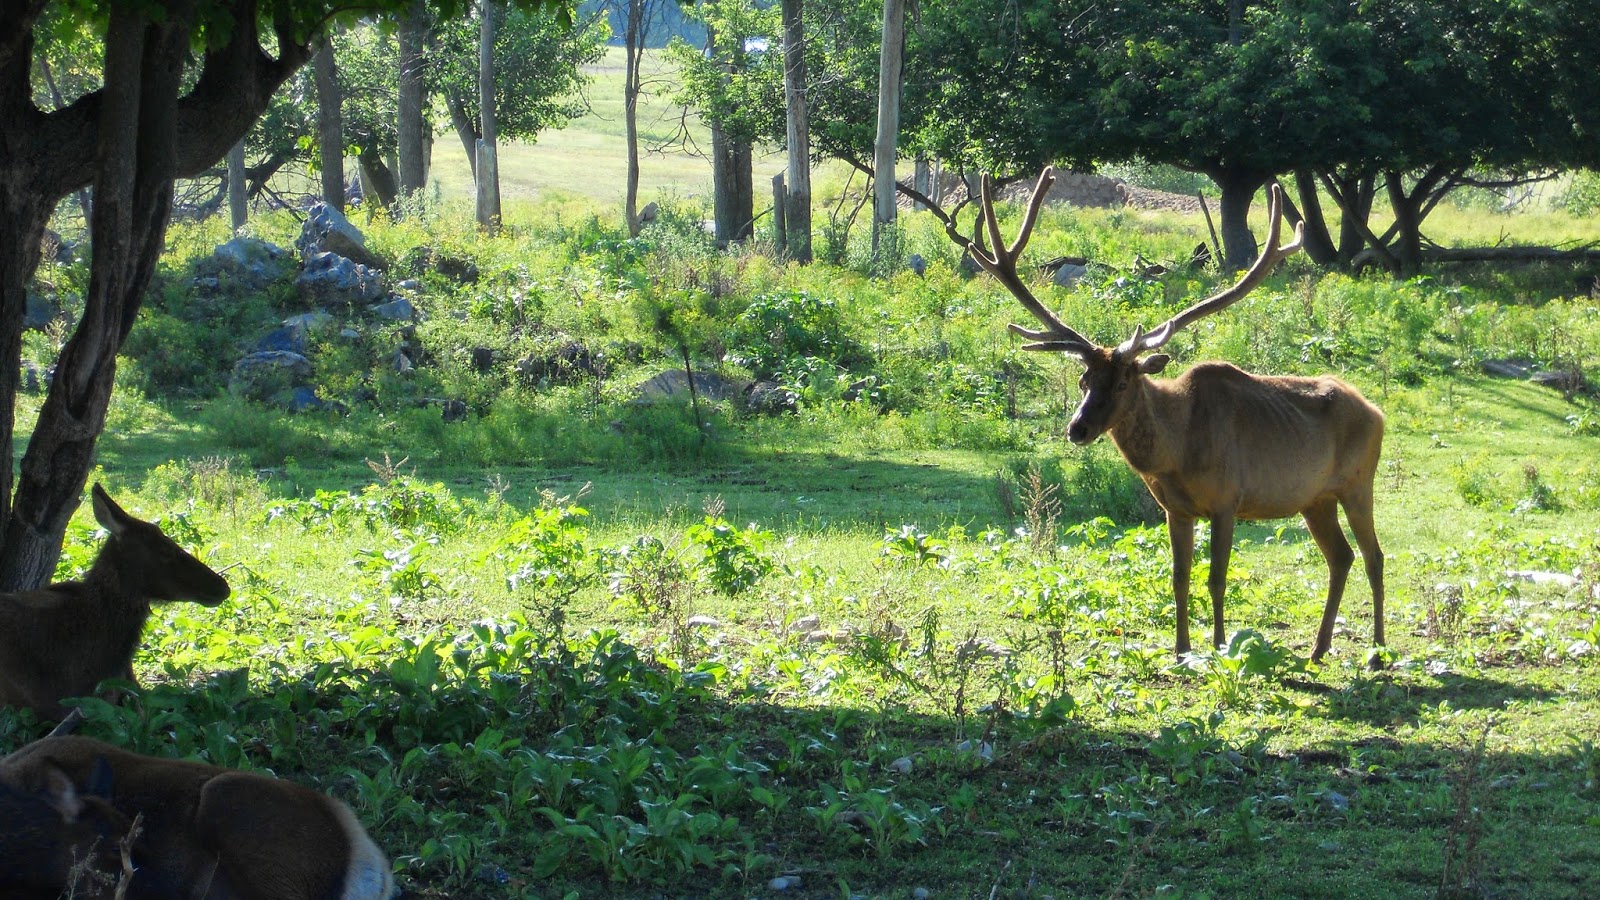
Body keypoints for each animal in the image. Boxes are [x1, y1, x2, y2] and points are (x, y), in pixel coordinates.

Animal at [945, 168, 1386, 665]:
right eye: (1083, 380)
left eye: (1123, 382)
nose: (1077, 428)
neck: (1175, 455)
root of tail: (1376, 411)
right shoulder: (1175, 509)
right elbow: (1178, 578)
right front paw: (1180, 651)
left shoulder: (1228, 499)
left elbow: (1216, 579)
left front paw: (1220, 648)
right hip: (1315, 498)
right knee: (1341, 557)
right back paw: (1318, 647)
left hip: (1358, 481)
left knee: (1373, 556)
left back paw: (1377, 649)